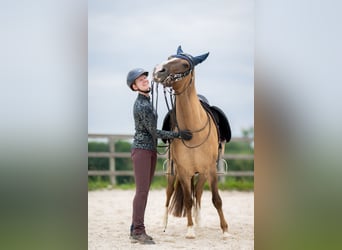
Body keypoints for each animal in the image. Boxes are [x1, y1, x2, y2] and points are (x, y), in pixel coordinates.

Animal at [153, 46, 230, 239]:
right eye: (168, 58)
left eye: (185, 64)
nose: (158, 71)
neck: (193, 129)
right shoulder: (183, 170)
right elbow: (187, 199)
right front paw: (189, 230)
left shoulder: (210, 169)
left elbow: (216, 199)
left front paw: (225, 230)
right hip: (172, 171)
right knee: (169, 193)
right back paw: (164, 223)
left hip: (202, 173)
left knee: (199, 193)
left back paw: (199, 221)